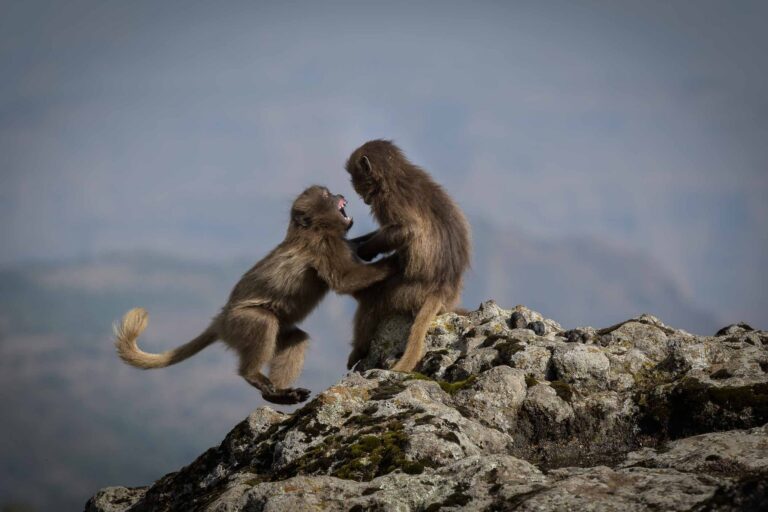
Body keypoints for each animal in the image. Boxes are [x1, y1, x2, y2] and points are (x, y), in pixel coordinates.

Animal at [113, 186, 394, 405]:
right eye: (326, 195)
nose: (340, 194)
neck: (313, 230)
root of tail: (221, 319)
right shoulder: (323, 248)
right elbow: (344, 280)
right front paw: (391, 263)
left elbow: (354, 254)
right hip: (240, 323)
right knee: (263, 321)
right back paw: (255, 377)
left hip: (263, 329)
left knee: (295, 337)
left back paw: (279, 393)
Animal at [345, 140, 471, 372]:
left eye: (358, 182)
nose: (363, 198)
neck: (395, 175)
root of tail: (443, 288)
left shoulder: (387, 200)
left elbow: (407, 230)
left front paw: (365, 250)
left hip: (405, 292)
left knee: (372, 301)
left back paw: (359, 351)